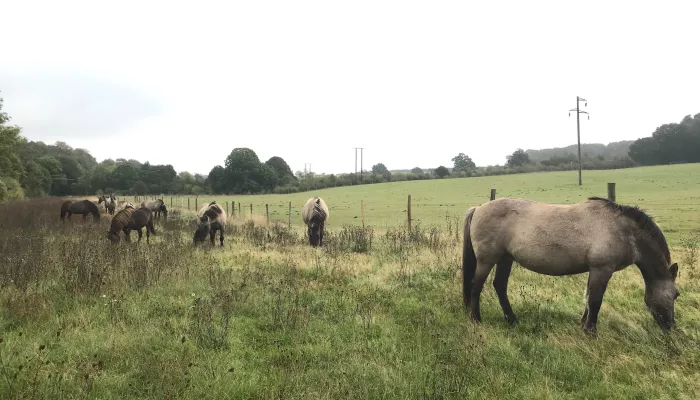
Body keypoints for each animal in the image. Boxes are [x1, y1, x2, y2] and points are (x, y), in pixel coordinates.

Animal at [462, 196, 680, 334]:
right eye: (676, 294)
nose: (671, 327)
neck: (622, 230)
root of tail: (478, 208)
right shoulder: (602, 269)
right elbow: (595, 301)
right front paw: (591, 332)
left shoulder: (595, 270)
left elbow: (588, 299)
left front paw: (584, 326)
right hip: (487, 260)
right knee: (476, 286)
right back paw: (476, 319)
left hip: (505, 259)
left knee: (499, 286)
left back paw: (512, 319)